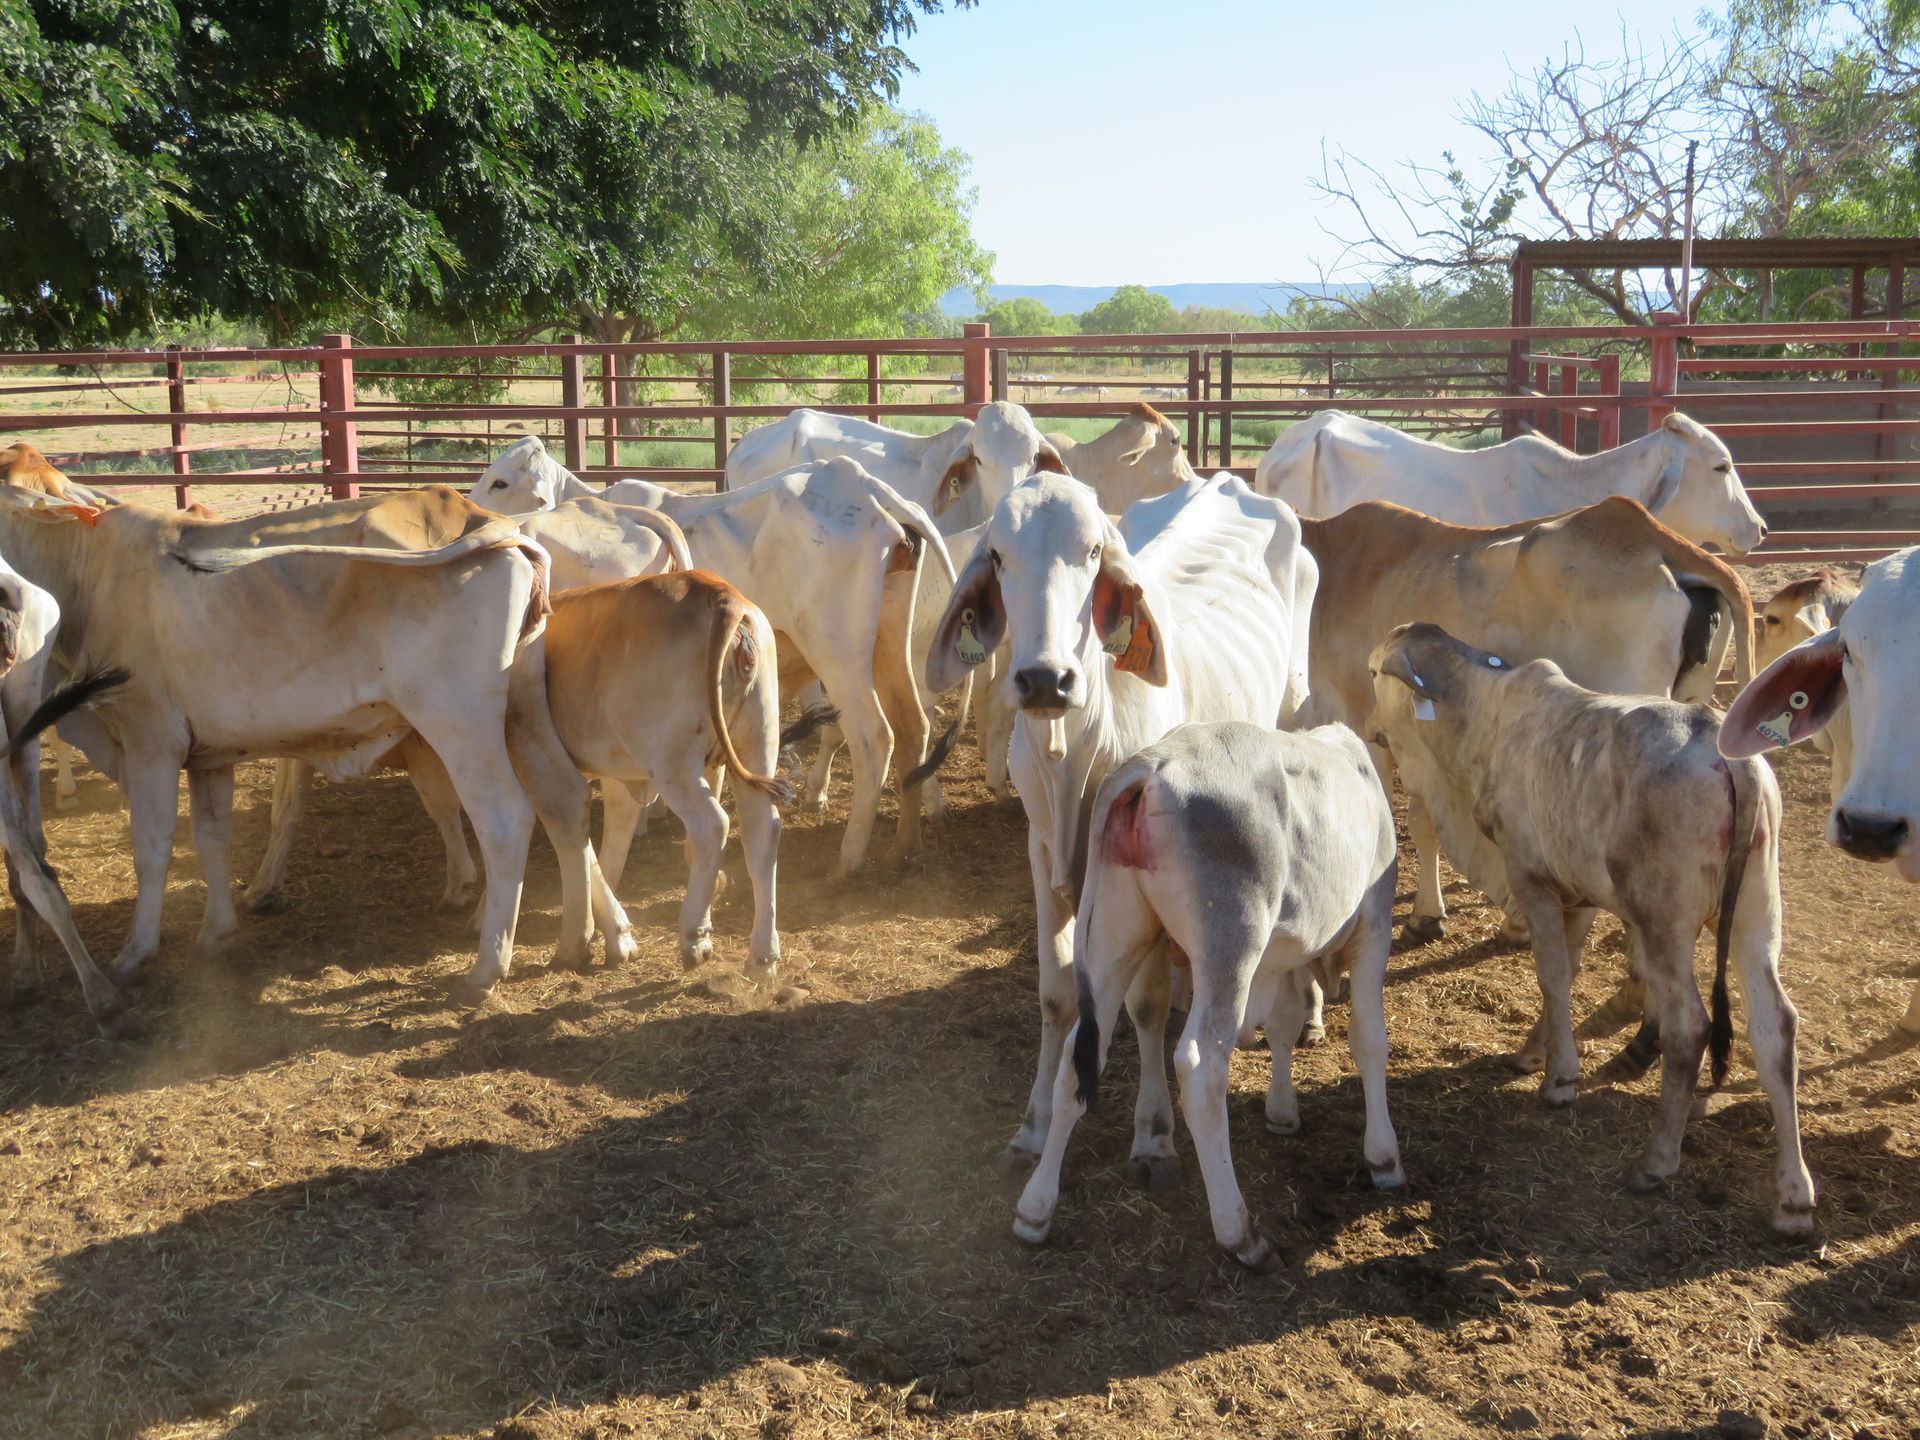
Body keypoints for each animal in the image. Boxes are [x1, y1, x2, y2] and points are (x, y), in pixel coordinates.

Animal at [0, 486, 630, 1004]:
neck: (89, 569)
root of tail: (488, 521)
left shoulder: (148, 740)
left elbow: (152, 850)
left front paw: (135, 952)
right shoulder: (209, 756)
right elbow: (210, 839)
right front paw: (217, 929)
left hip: (459, 722)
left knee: (505, 819)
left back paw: (487, 967)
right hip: (523, 712)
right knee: (564, 801)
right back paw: (580, 941)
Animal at [471, 445, 958, 879]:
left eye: (500, 481)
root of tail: (865, 486)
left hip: (836, 651)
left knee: (873, 737)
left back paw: (847, 860)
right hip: (887, 640)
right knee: (913, 725)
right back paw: (904, 847)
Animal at [926, 471, 1318, 1178]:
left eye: (1091, 552)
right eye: (998, 555)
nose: (1046, 679)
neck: (1074, 753)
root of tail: (1227, 477)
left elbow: (1147, 1004)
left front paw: (1154, 1131)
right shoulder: (1041, 850)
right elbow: (1056, 995)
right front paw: (1035, 1124)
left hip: (1294, 711)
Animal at [1010, 720, 1402, 1268]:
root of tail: (1149, 766)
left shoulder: (1280, 960)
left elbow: (1282, 1026)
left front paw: (1283, 1111)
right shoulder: (1374, 928)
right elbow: (1369, 1041)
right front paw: (1384, 1156)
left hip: (1114, 936)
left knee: (1078, 1058)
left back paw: (1035, 1208)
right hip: (1229, 946)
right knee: (1199, 1066)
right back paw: (1240, 1232)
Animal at [1374, 622, 1815, 1234]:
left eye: (1374, 672)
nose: (1372, 728)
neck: (1486, 711)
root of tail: (1729, 755)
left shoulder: (1531, 877)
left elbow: (1552, 975)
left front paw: (1560, 1080)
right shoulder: (1575, 890)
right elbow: (1568, 968)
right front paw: (1534, 1053)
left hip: (1664, 921)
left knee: (1689, 1026)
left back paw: (1656, 1161)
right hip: (1757, 913)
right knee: (1776, 1028)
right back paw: (1794, 1197)